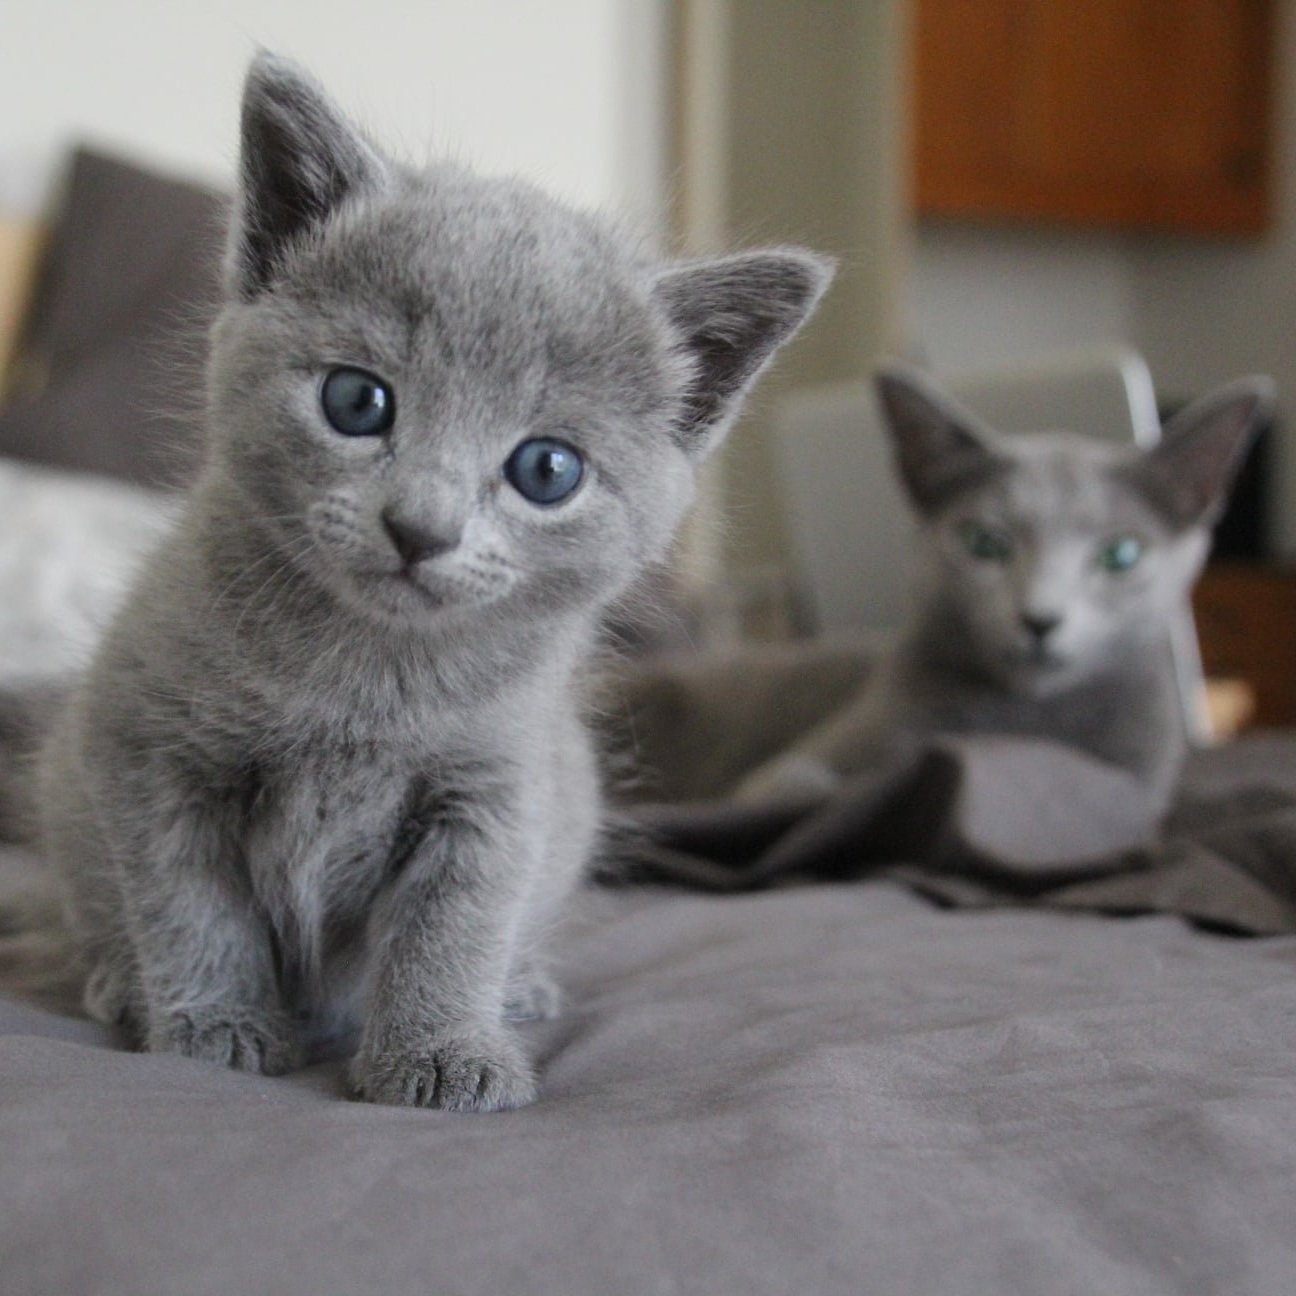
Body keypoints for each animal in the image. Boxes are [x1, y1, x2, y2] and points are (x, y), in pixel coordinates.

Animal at [35, 58, 834, 1114]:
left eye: (547, 470)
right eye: (356, 400)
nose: (421, 527)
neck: (366, 679)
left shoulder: (496, 792)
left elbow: (454, 928)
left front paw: (444, 1051)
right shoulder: (147, 750)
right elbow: (189, 901)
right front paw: (215, 1025)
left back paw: (521, 988)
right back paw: (122, 985)